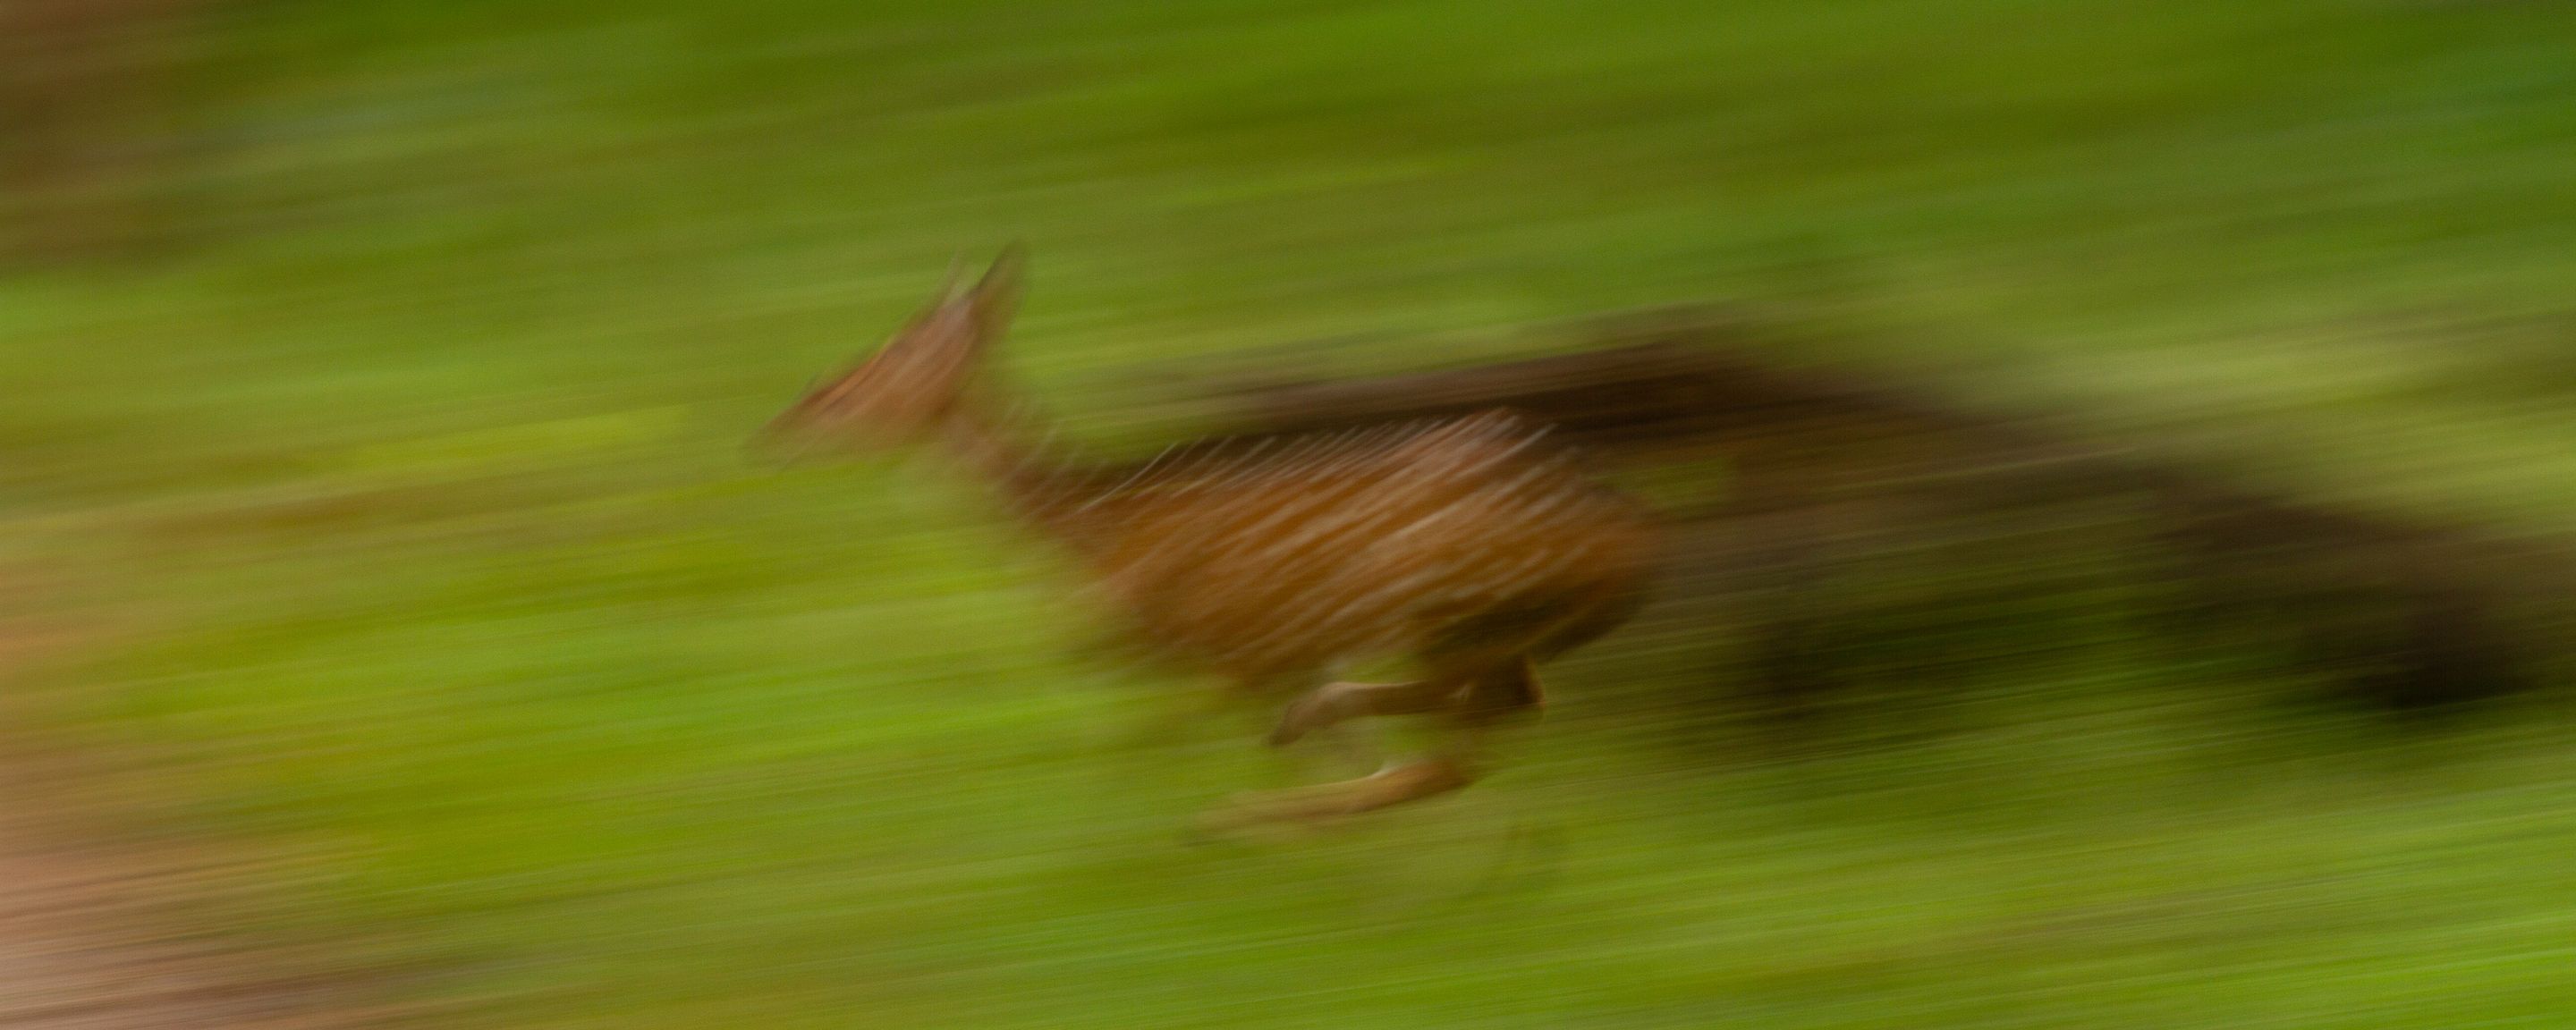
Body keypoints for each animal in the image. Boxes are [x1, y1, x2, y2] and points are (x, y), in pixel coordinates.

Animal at [754, 247, 1658, 828]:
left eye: (887, 357)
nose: (786, 421)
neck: (1090, 530)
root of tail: (1635, 543)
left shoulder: (1221, 646)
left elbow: (1135, 745)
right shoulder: (1221, 658)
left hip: (1436, 598)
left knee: (1453, 729)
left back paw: (1247, 802)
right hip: (1498, 630)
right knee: (1481, 731)